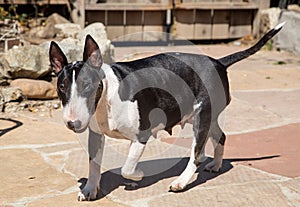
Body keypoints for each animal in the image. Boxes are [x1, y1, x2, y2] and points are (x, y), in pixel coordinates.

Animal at [48, 22, 284, 201]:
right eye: (61, 87)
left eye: (87, 85)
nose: (72, 123)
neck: (106, 97)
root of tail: (218, 62)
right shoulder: (96, 135)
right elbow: (93, 164)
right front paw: (89, 189)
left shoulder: (141, 135)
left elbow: (127, 168)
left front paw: (137, 177)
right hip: (205, 116)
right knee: (219, 137)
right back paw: (216, 164)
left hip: (202, 117)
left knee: (196, 154)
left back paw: (180, 181)